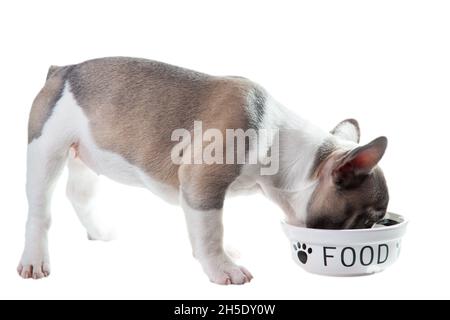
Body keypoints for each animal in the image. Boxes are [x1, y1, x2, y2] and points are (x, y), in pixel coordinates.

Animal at [19, 56, 388, 284]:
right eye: (367, 219)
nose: (377, 226)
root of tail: (61, 70)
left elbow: (210, 227)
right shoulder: (203, 180)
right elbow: (210, 230)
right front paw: (222, 268)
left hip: (85, 152)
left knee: (78, 192)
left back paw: (100, 231)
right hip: (45, 149)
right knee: (40, 210)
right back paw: (35, 259)